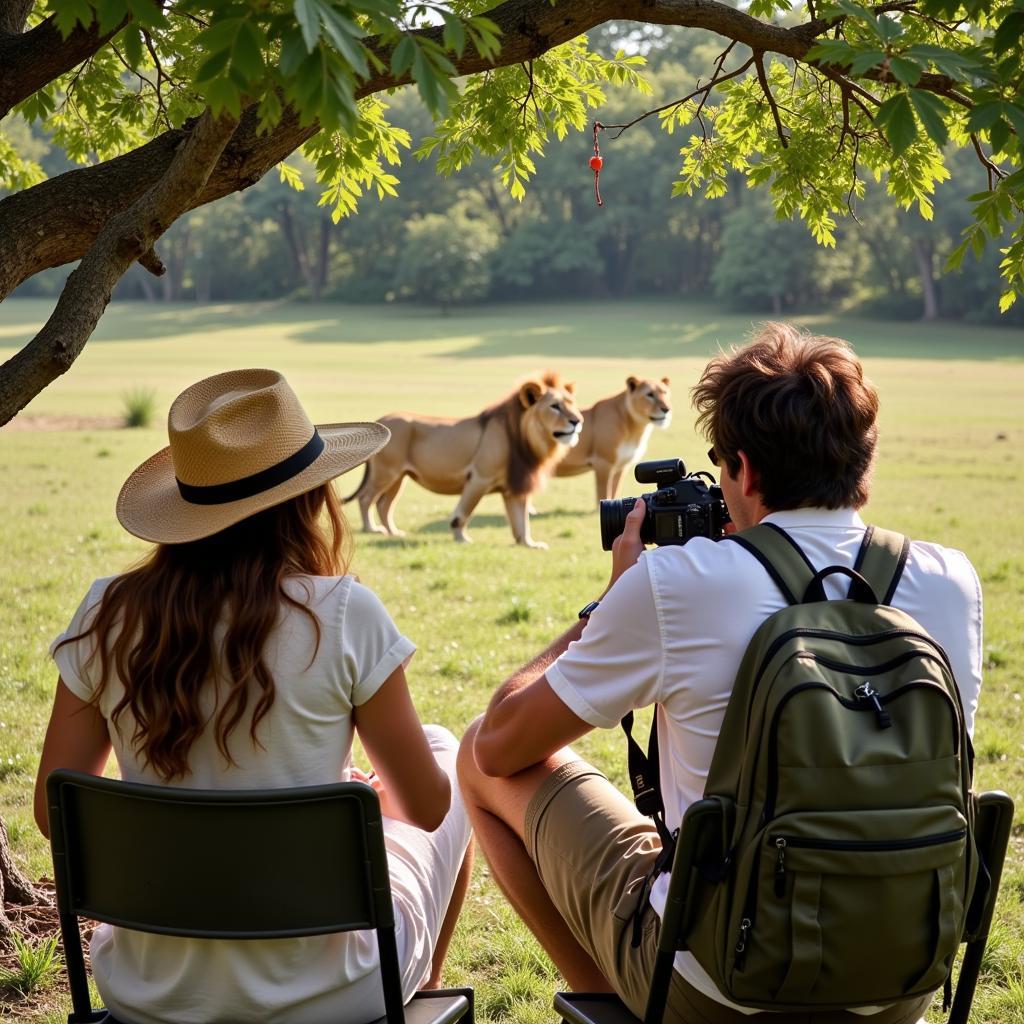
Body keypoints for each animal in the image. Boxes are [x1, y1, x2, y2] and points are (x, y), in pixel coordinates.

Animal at [344, 372, 581, 548]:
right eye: (555, 406)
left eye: (572, 404)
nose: (578, 420)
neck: (524, 438)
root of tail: (380, 419)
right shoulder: (479, 478)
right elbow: (463, 513)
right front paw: (462, 539)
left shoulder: (514, 485)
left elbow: (521, 520)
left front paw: (528, 544)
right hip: (386, 473)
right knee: (366, 498)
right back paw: (372, 529)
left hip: (399, 477)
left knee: (384, 504)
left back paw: (393, 532)